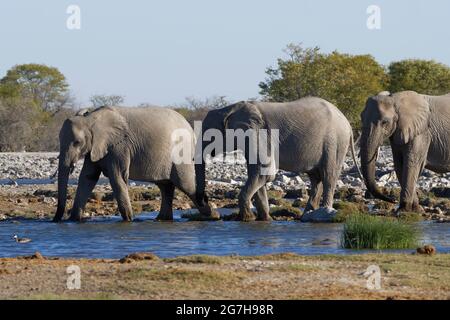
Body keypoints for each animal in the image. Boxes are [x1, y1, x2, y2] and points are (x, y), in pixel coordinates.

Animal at [52, 105, 214, 222]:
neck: (90, 118)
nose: (55, 220)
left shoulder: (119, 146)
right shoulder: (97, 147)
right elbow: (87, 178)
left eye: (77, 142)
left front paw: (129, 220)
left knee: (186, 185)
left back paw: (212, 216)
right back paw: (162, 219)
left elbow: (117, 178)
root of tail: (190, 127)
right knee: (165, 186)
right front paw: (74, 220)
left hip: (181, 153)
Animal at [194, 97, 358, 221]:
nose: (213, 214)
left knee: (328, 175)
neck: (229, 109)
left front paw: (247, 218)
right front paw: (265, 219)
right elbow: (259, 176)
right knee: (315, 178)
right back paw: (307, 216)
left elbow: (264, 173)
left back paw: (324, 213)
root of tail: (348, 124)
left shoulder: (258, 134)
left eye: (210, 136)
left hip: (335, 143)